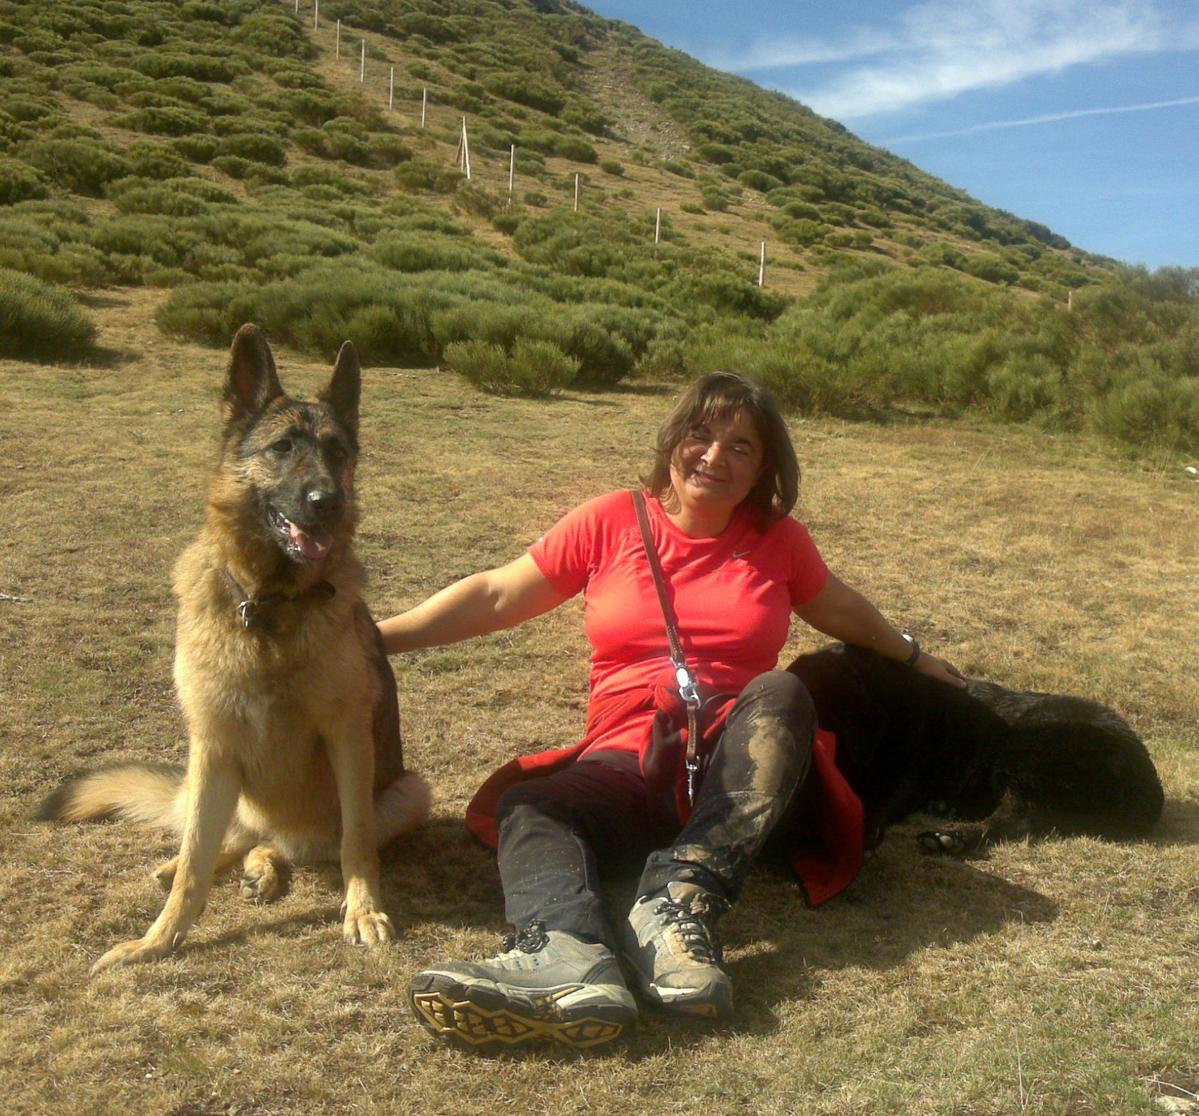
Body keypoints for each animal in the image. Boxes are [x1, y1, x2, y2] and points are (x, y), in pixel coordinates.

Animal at [38, 324, 430, 973]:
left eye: (338, 452)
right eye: (282, 447)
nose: (327, 502)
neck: (269, 605)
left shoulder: (347, 738)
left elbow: (357, 845)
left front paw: (364, 911)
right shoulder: (213, 746)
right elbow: (196, 862)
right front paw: (156, 940)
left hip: (411, 792)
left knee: (300, 847)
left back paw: (269, 869)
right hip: (225, 786)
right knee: (229, 840)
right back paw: (217, 865)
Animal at [787, 643, 1163, 853]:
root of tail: (1150, 788)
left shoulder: (907, 777)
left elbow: (882, 800)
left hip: (1029, 745)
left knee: (1015, 814)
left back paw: (951, 837)